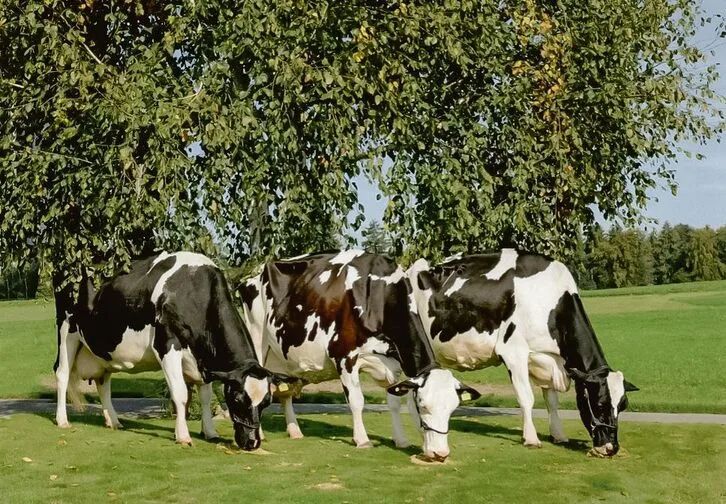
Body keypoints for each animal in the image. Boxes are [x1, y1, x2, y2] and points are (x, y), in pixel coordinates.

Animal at [54, 251, 292, 450]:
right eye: (237, 399)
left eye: (266, 401)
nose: (252, 443)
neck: (193, 293)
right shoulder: (167, 346)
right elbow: (181, 394)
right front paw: (183, 436)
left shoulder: (203, 361)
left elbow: (205, 397)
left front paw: (210, 432)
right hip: (67, 332)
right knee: (62, 374)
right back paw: (62, 420)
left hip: (102, 353)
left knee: (103, 382)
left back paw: (113, 421)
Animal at [238, 250, 481, 461]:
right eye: (423, 406)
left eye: (452, 409)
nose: (440, 453)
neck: (377, 296)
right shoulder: (344, 356)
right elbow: (356, 401)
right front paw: (362, 440)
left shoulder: (394, 363)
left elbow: (395, 402)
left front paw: (402, 440)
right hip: (257, 336)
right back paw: (260, 434)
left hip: (283, 356)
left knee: (285, 391)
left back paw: (295, 431)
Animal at [407, 249, 638, 457]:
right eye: (600, 404)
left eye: (623, 406)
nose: (611, 448)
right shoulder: (514, 353)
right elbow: (526, 397)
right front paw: (531, 438)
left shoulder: (547, 359)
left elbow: (551, 400)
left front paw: (558, 435)